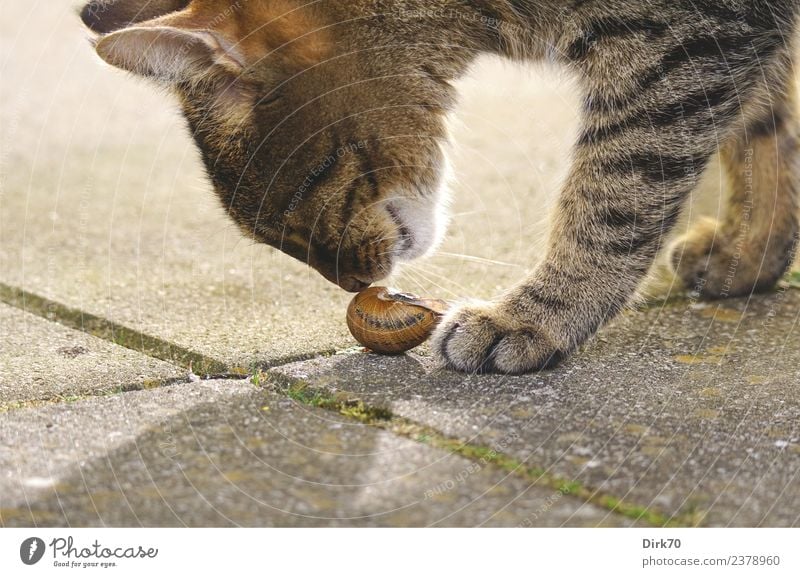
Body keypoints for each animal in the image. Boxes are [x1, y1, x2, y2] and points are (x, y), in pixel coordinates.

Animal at [81, 1, 800, 374]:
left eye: (298, 196)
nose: (353, 283)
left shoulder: (680, 44)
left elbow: (617, 190)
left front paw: (536, 316)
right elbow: (763, 127)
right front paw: (750, 253)